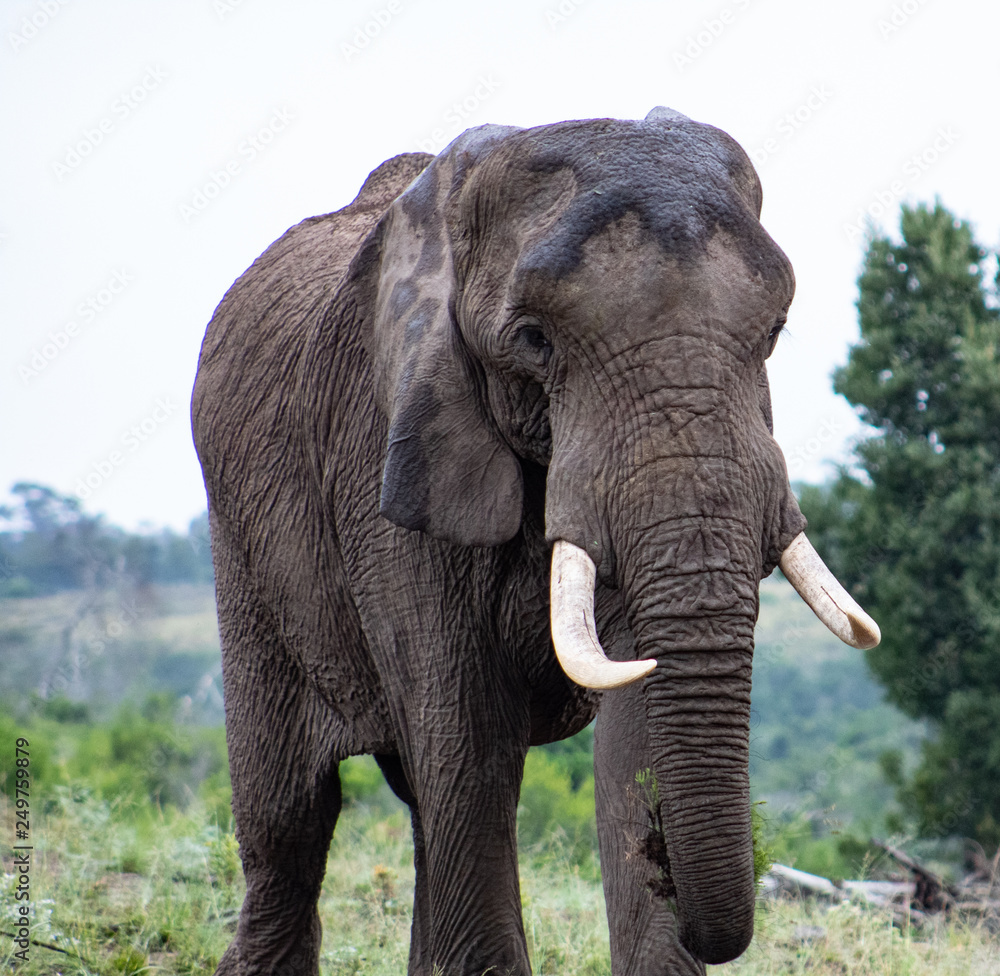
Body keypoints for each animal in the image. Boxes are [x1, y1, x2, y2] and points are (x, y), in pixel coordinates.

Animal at [191, 106, 879, 976]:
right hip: (240, 543)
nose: (669, 866)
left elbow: (631, 724)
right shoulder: (389, 446)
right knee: (291, 817)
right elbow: (468, 737)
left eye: (777, 331)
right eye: (533, 340)